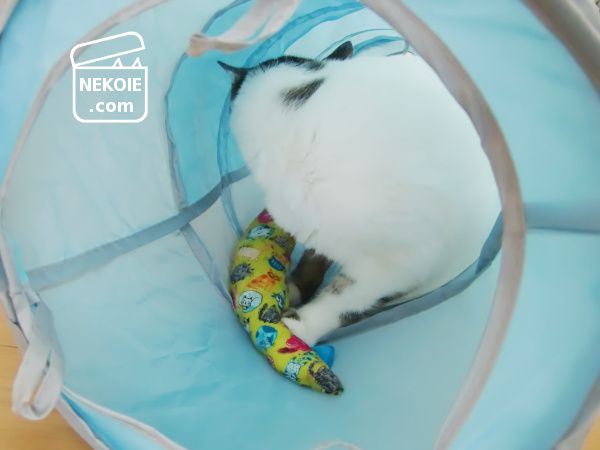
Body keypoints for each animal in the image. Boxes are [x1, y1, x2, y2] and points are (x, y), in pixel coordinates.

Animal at [221, 41, 500, 346]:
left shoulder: (395, 263)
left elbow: (342, 298)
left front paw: (300, 327)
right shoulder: (317, 225)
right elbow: (316, 256)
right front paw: (297, 288)